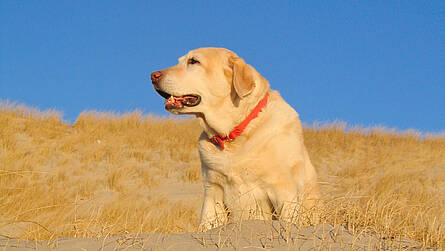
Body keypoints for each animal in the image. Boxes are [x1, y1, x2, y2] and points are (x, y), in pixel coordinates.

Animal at [151, 48, 318, 230]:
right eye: (180, 61)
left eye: (194, 61)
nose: (153, 76)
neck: (234, 135)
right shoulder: (213, 192)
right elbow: (206, 225)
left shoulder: (284, 190)